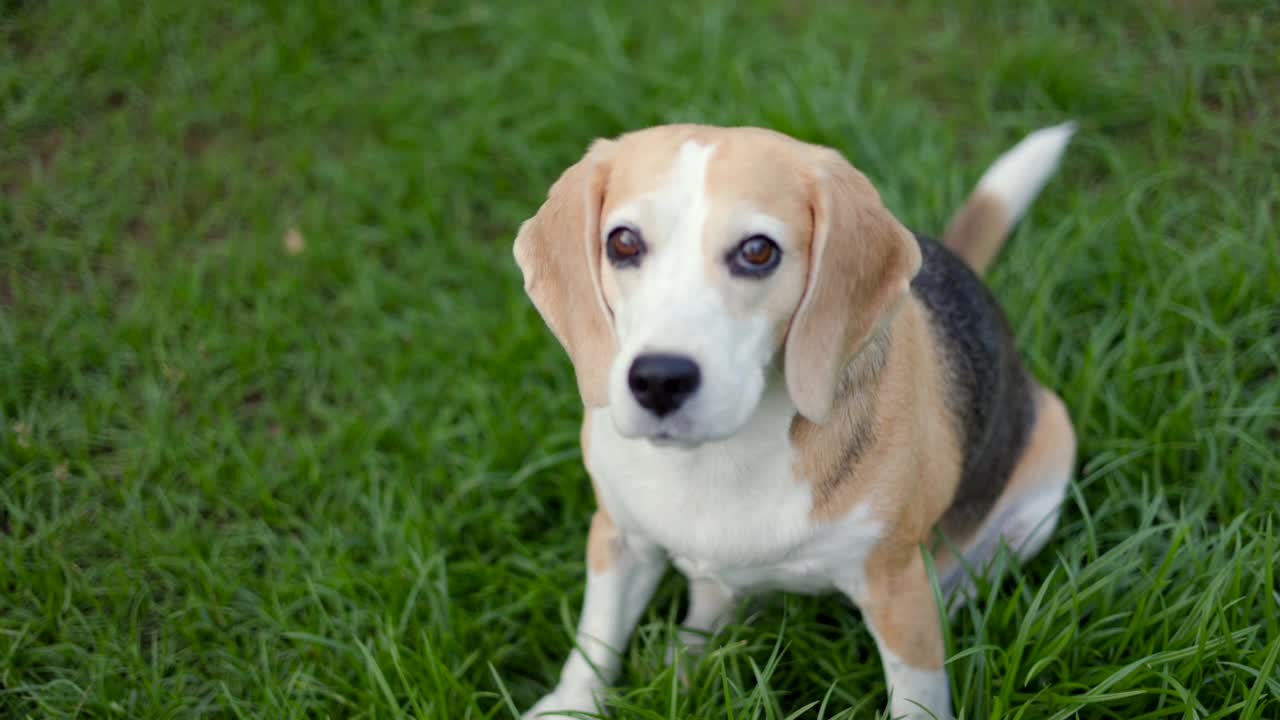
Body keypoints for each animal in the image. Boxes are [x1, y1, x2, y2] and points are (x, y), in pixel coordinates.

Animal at [514, 122, 1075, 717]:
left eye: (757, 251)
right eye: (622, 242)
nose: (659, 380)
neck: (716, 456)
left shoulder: (895, 588)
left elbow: (916, 694)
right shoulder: (617, 537)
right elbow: (596, 638)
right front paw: (570, 704)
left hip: (1040, 497)